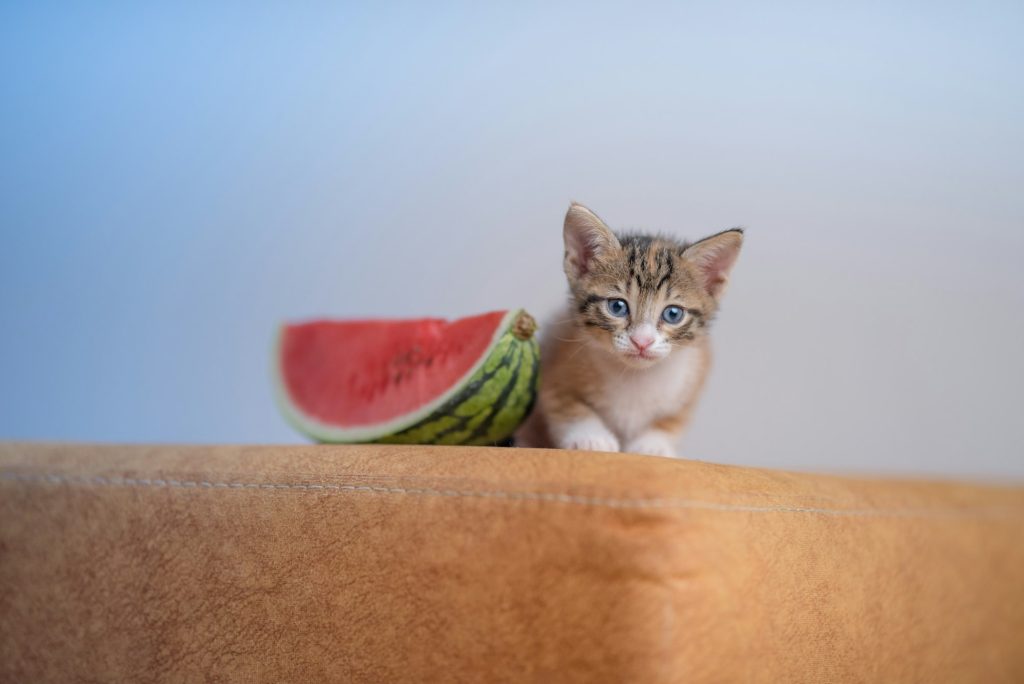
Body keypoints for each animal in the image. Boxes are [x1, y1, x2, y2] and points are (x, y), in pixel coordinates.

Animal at [516, 202, 741, 458]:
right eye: (617, 306)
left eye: (673, 314)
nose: (642, 341)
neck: (635, 376)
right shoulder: (554, 362)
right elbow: (567, 406)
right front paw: (591, 437)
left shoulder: (695, 375)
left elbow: (672, 420)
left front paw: (654, 444)